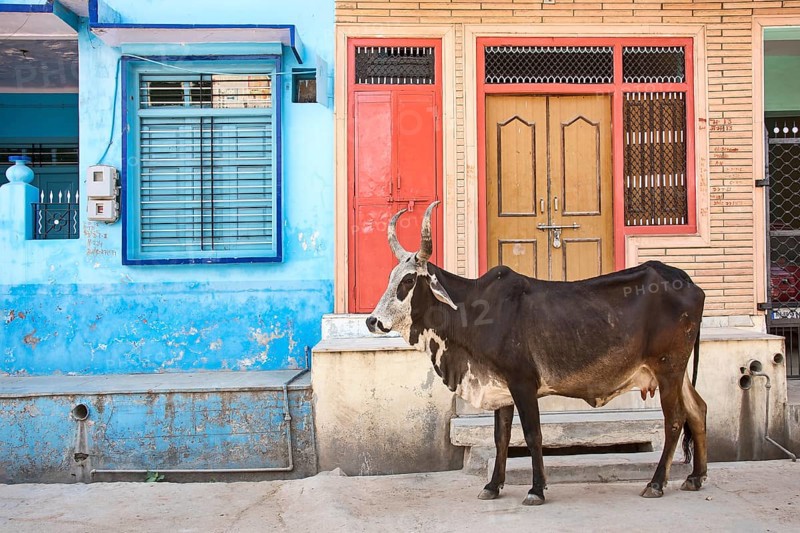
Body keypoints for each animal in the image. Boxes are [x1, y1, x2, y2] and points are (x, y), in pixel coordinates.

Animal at [366, 201, 707, 506]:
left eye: (408, 280)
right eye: (390, 277)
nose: (372, 321)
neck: (473, 310)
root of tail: (685, 279)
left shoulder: (523, 383)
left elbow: (532, 435)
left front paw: (536, 489)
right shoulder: (499, 386)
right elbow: (501, 437)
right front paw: (493, 486)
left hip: (668, 368)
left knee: (675, 419)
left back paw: (656, 483)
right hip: (678, 373)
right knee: (698, 410)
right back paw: (695, 477)